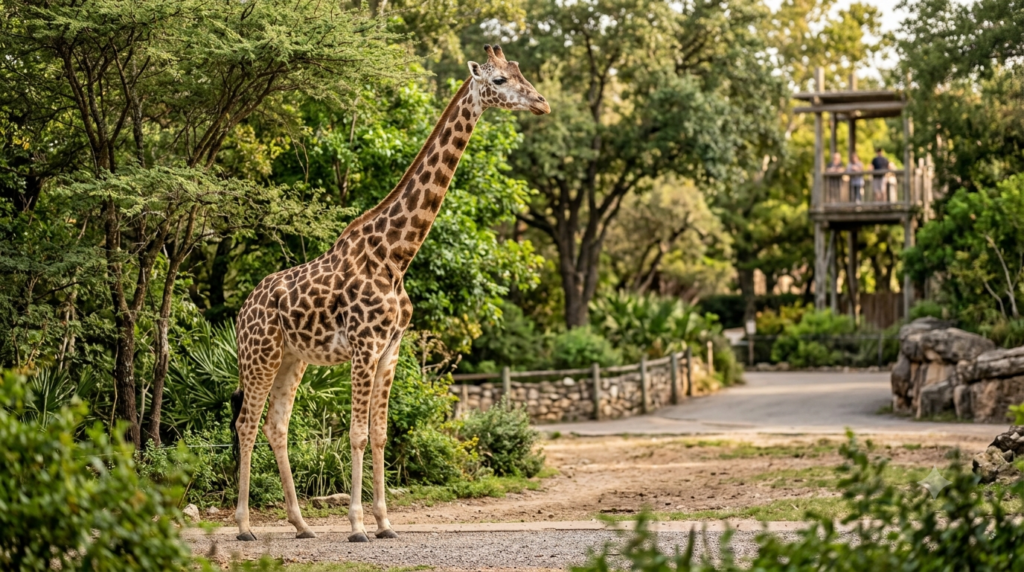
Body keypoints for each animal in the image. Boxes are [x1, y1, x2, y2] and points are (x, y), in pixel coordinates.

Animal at [229, 45, 549, 543]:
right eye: (498, 80)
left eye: (520, 73)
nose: (541, 103)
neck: (396, 257)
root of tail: (243, 309)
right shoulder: (364, 346)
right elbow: (358, 433)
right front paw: (358, 525)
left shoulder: (391, 348)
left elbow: (380, 433)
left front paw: (384, 522)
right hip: (258, 354)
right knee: (246, 423)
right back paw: (244, 527)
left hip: (291, 358)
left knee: (275, 425)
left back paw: (302, 525)